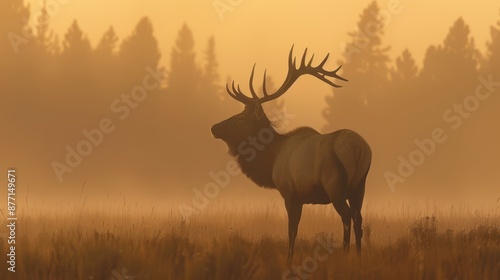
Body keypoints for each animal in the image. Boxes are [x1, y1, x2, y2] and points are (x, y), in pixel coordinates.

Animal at [210, 46, 372, 260]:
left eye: (241, 118)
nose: (214, 127)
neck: (272, 157)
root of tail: (359, 149)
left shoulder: (289, 192)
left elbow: (292, 230)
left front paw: (289, 259)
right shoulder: (301, 197)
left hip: (335, 185)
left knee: (346, 216)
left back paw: (345, 255)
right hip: (359, 185)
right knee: (358, 218)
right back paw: (359, 257)